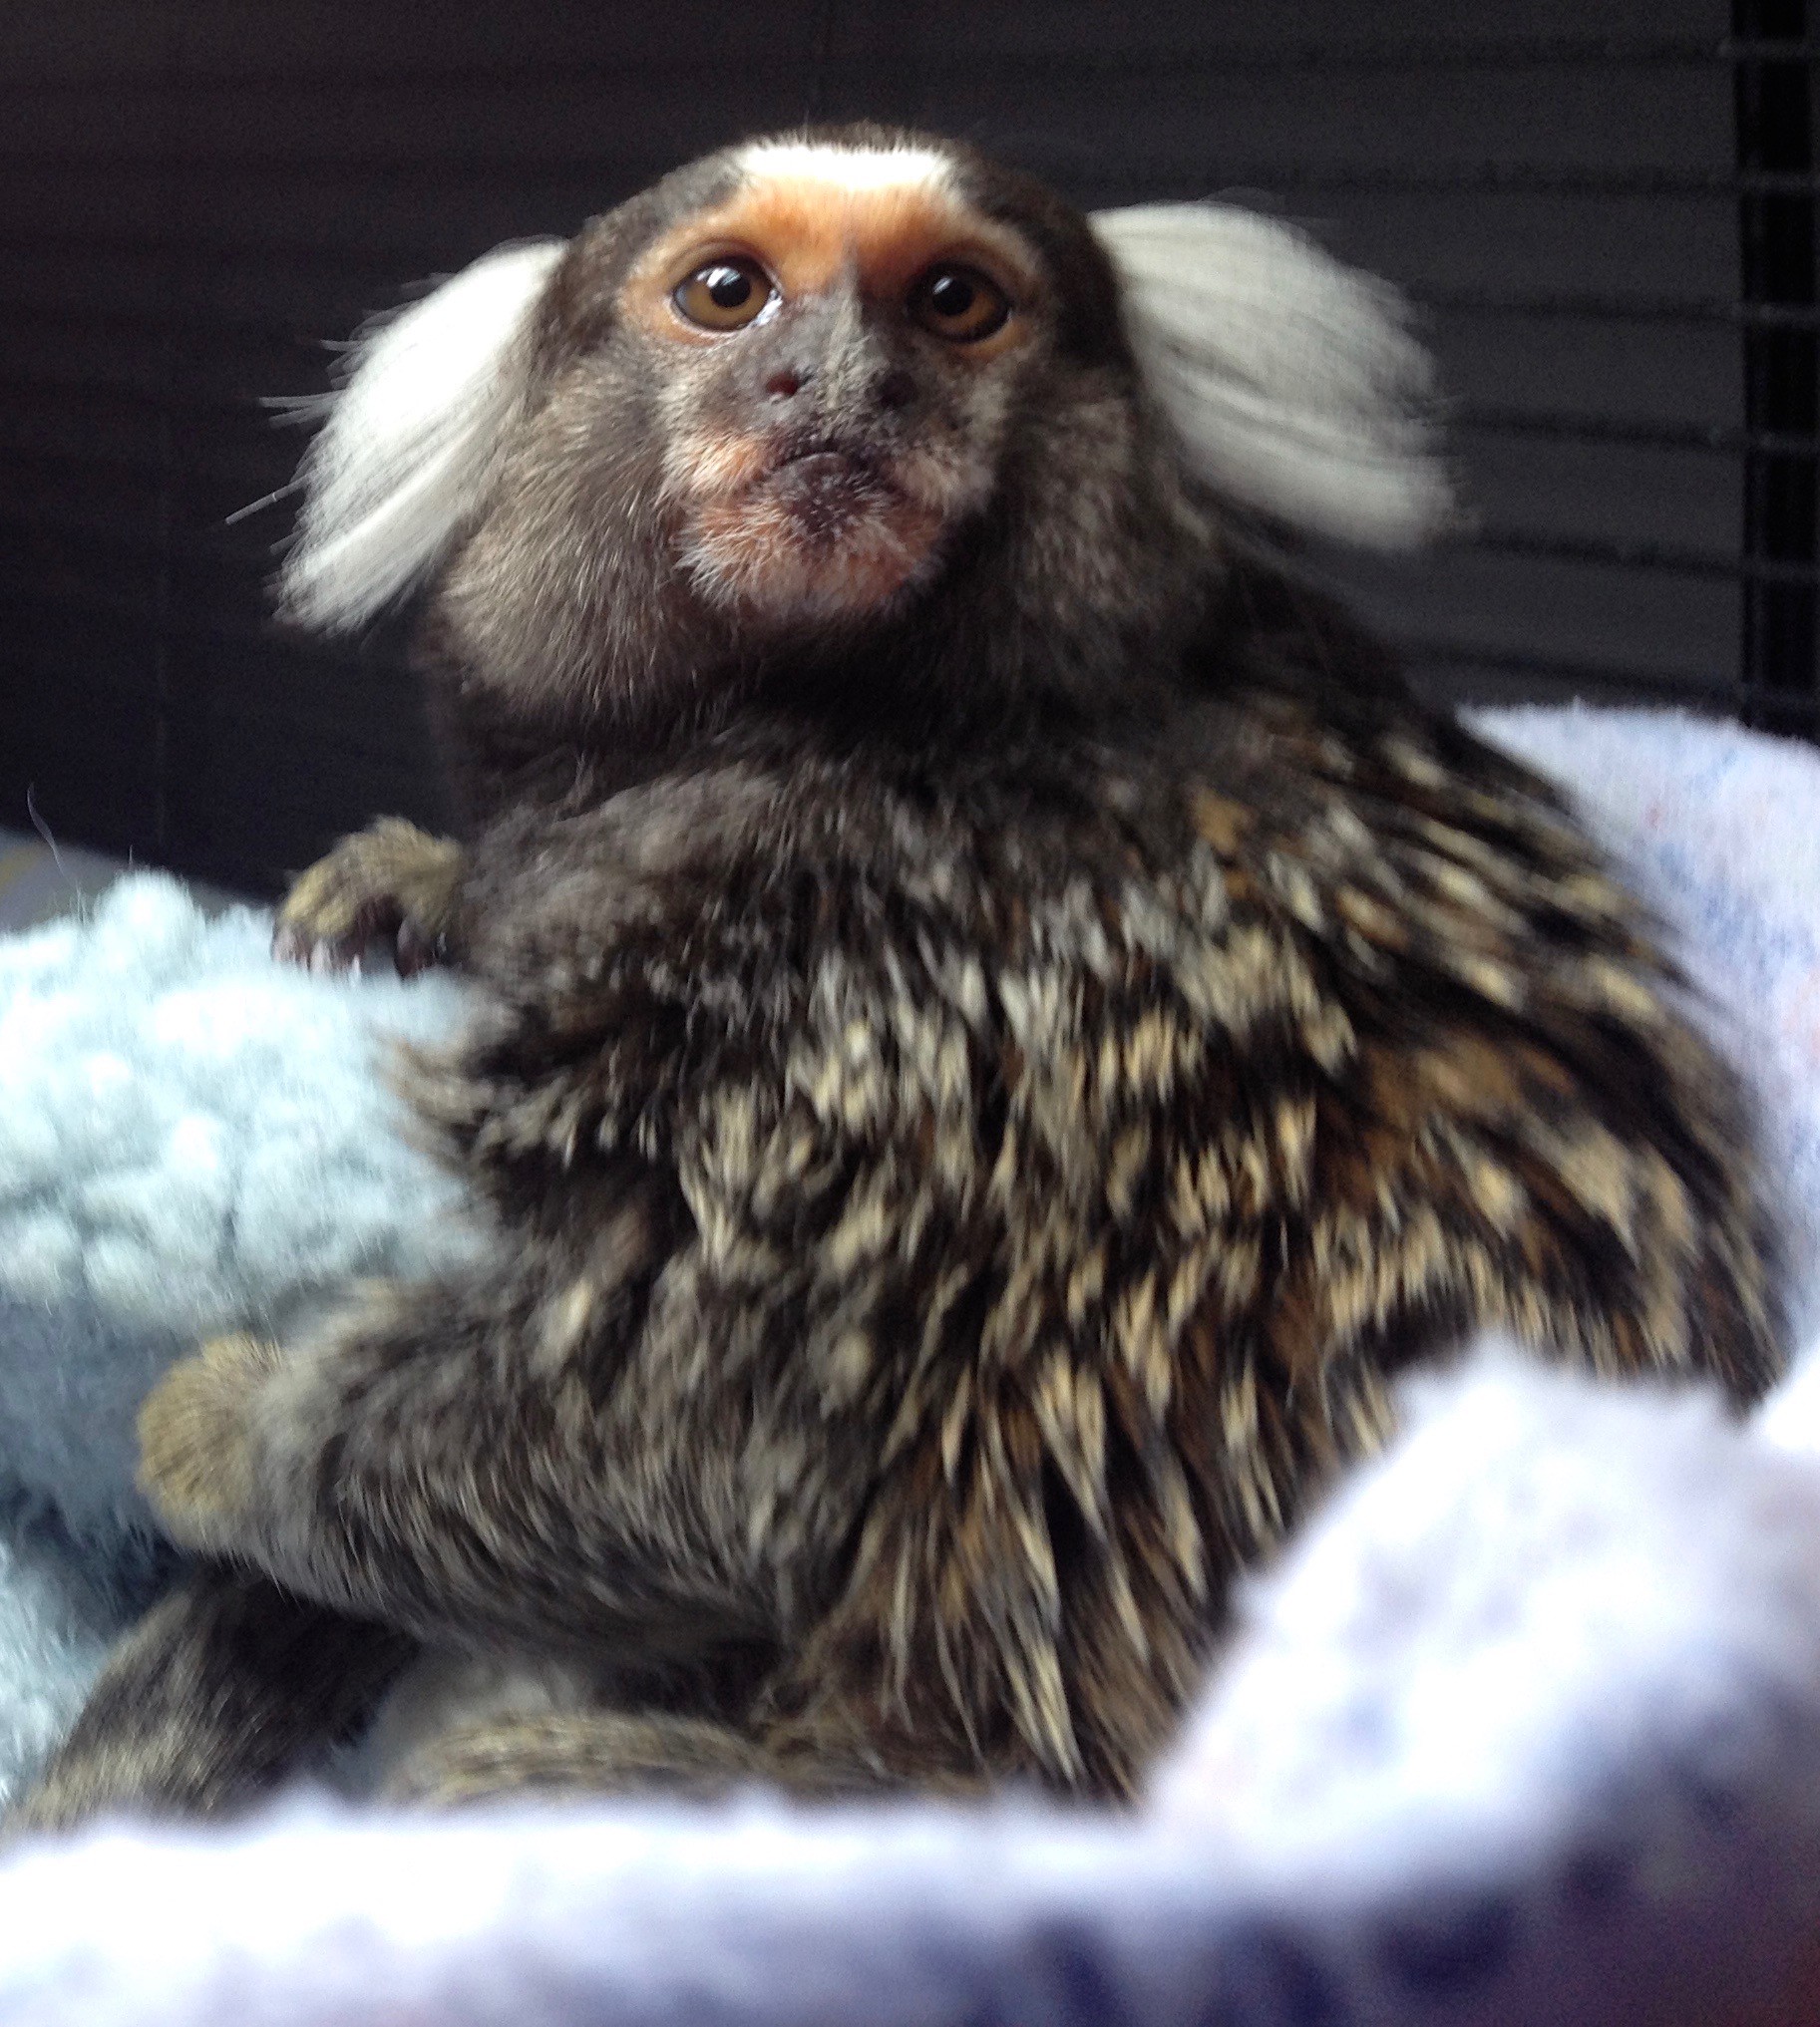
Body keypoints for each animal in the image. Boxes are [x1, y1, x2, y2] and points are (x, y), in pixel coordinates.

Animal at [11, 124, 1782, 1832]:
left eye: (952, 302)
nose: (840, 383)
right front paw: (422, 885)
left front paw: (233, 1432)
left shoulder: (899, 990)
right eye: (728, 293)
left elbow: (695, 1441)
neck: (847, 723)